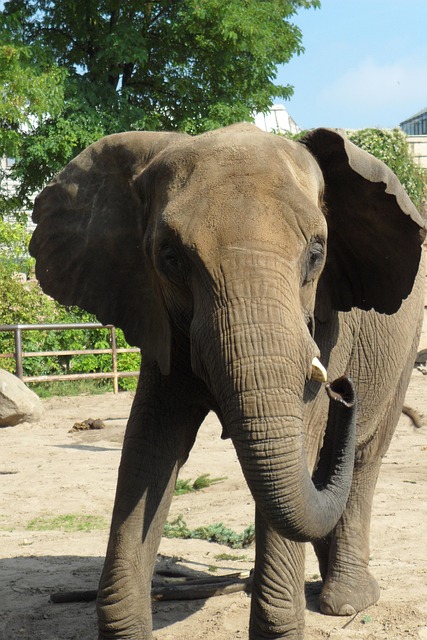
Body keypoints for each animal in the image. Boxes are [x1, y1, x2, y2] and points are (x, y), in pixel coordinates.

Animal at [29, 123, 426, 640]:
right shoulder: (156, 312)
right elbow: (149, 446)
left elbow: (303, 436)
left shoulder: (329, 318)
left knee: (362, 459)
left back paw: (346, 602)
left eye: (317, 254)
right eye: (170, 258)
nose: (342, 388)